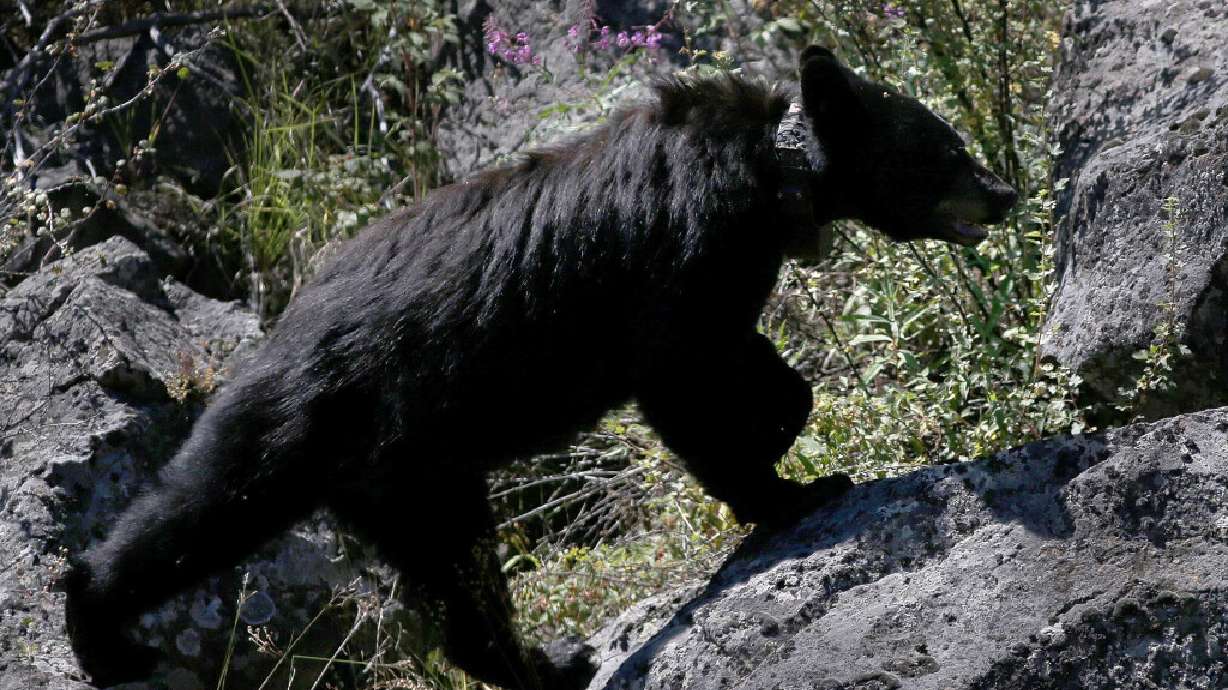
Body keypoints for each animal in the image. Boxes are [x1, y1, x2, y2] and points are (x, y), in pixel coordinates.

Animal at [65, 46, 1017, 690]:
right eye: (949, 148)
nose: (1008, 192)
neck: (769, 171)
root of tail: (273, 348)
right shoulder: (684, 256)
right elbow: (682, 384)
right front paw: (788, 488)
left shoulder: (727, 276)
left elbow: (752, 359)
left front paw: (783, 427)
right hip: (356, 445)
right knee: (223, 515)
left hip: (387, 473)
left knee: (429, 574)